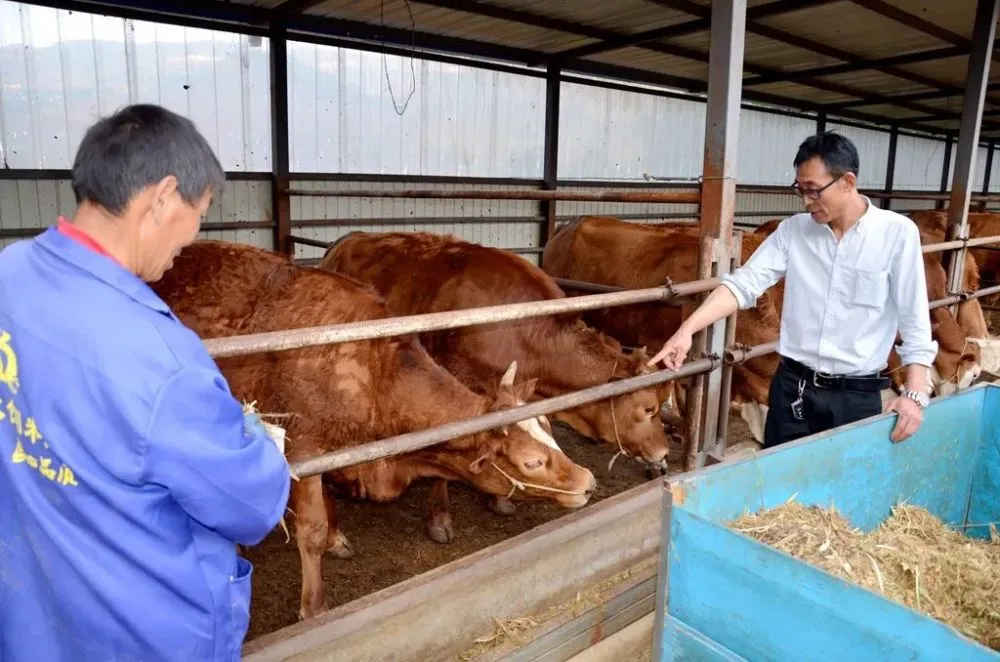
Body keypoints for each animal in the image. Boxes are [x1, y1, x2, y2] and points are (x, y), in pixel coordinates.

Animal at [152, 240, 596, 624]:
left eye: (549, 429)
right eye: (532, 462)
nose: (588, 481)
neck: (372, 370)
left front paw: (337, 538)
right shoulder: (305, 449)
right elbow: (310, 531)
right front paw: (314, 606)